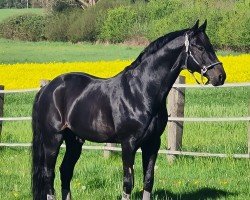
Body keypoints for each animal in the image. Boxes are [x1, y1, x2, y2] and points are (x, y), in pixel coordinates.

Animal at [31, 20, 227, 200]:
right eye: (200, 47)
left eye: (210, 45)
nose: (220, 76)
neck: (140, 91)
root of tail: (49, 88)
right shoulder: (128, 144)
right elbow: (128, 183)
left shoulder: (152, 143)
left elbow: (148, 180)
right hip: (53, 139)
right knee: (49, 175)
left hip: (74, 140)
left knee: (65, 171)